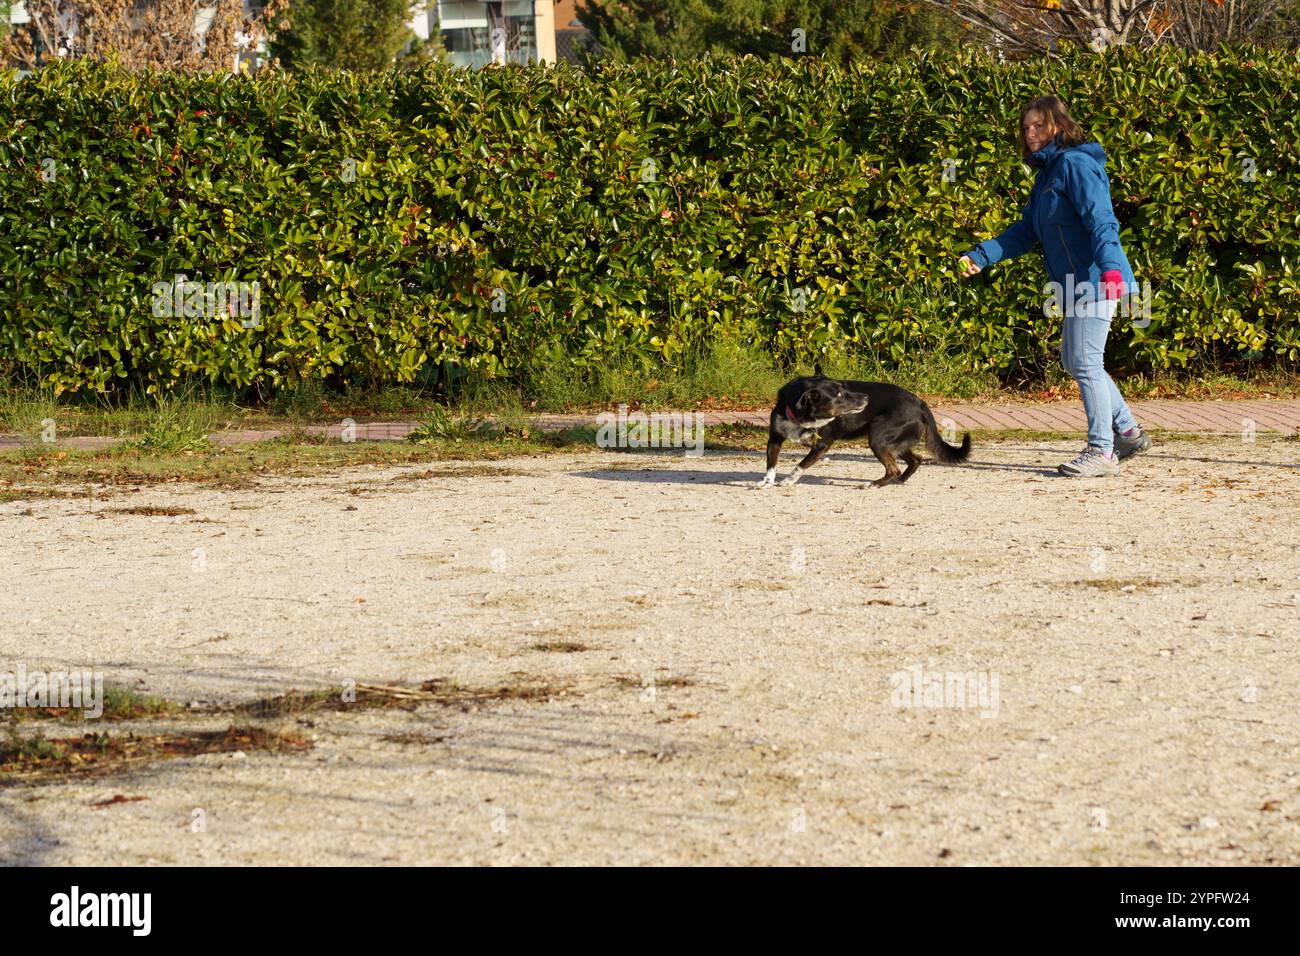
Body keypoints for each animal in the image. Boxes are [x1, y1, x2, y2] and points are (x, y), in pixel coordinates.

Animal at [759, 364, 972, 489]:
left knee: (893, 468)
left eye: (843, 388)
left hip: (878, 439)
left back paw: (874, 484)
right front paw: (767, 482)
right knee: (915, 460)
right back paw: (898, 480)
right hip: (895, 442)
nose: (866, 398)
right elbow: (771, 465)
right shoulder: (774, 439)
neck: (801, 417)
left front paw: (788, 480)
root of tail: (920, 403)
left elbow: (800, 465)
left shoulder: (821, 446)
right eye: (838, 394)